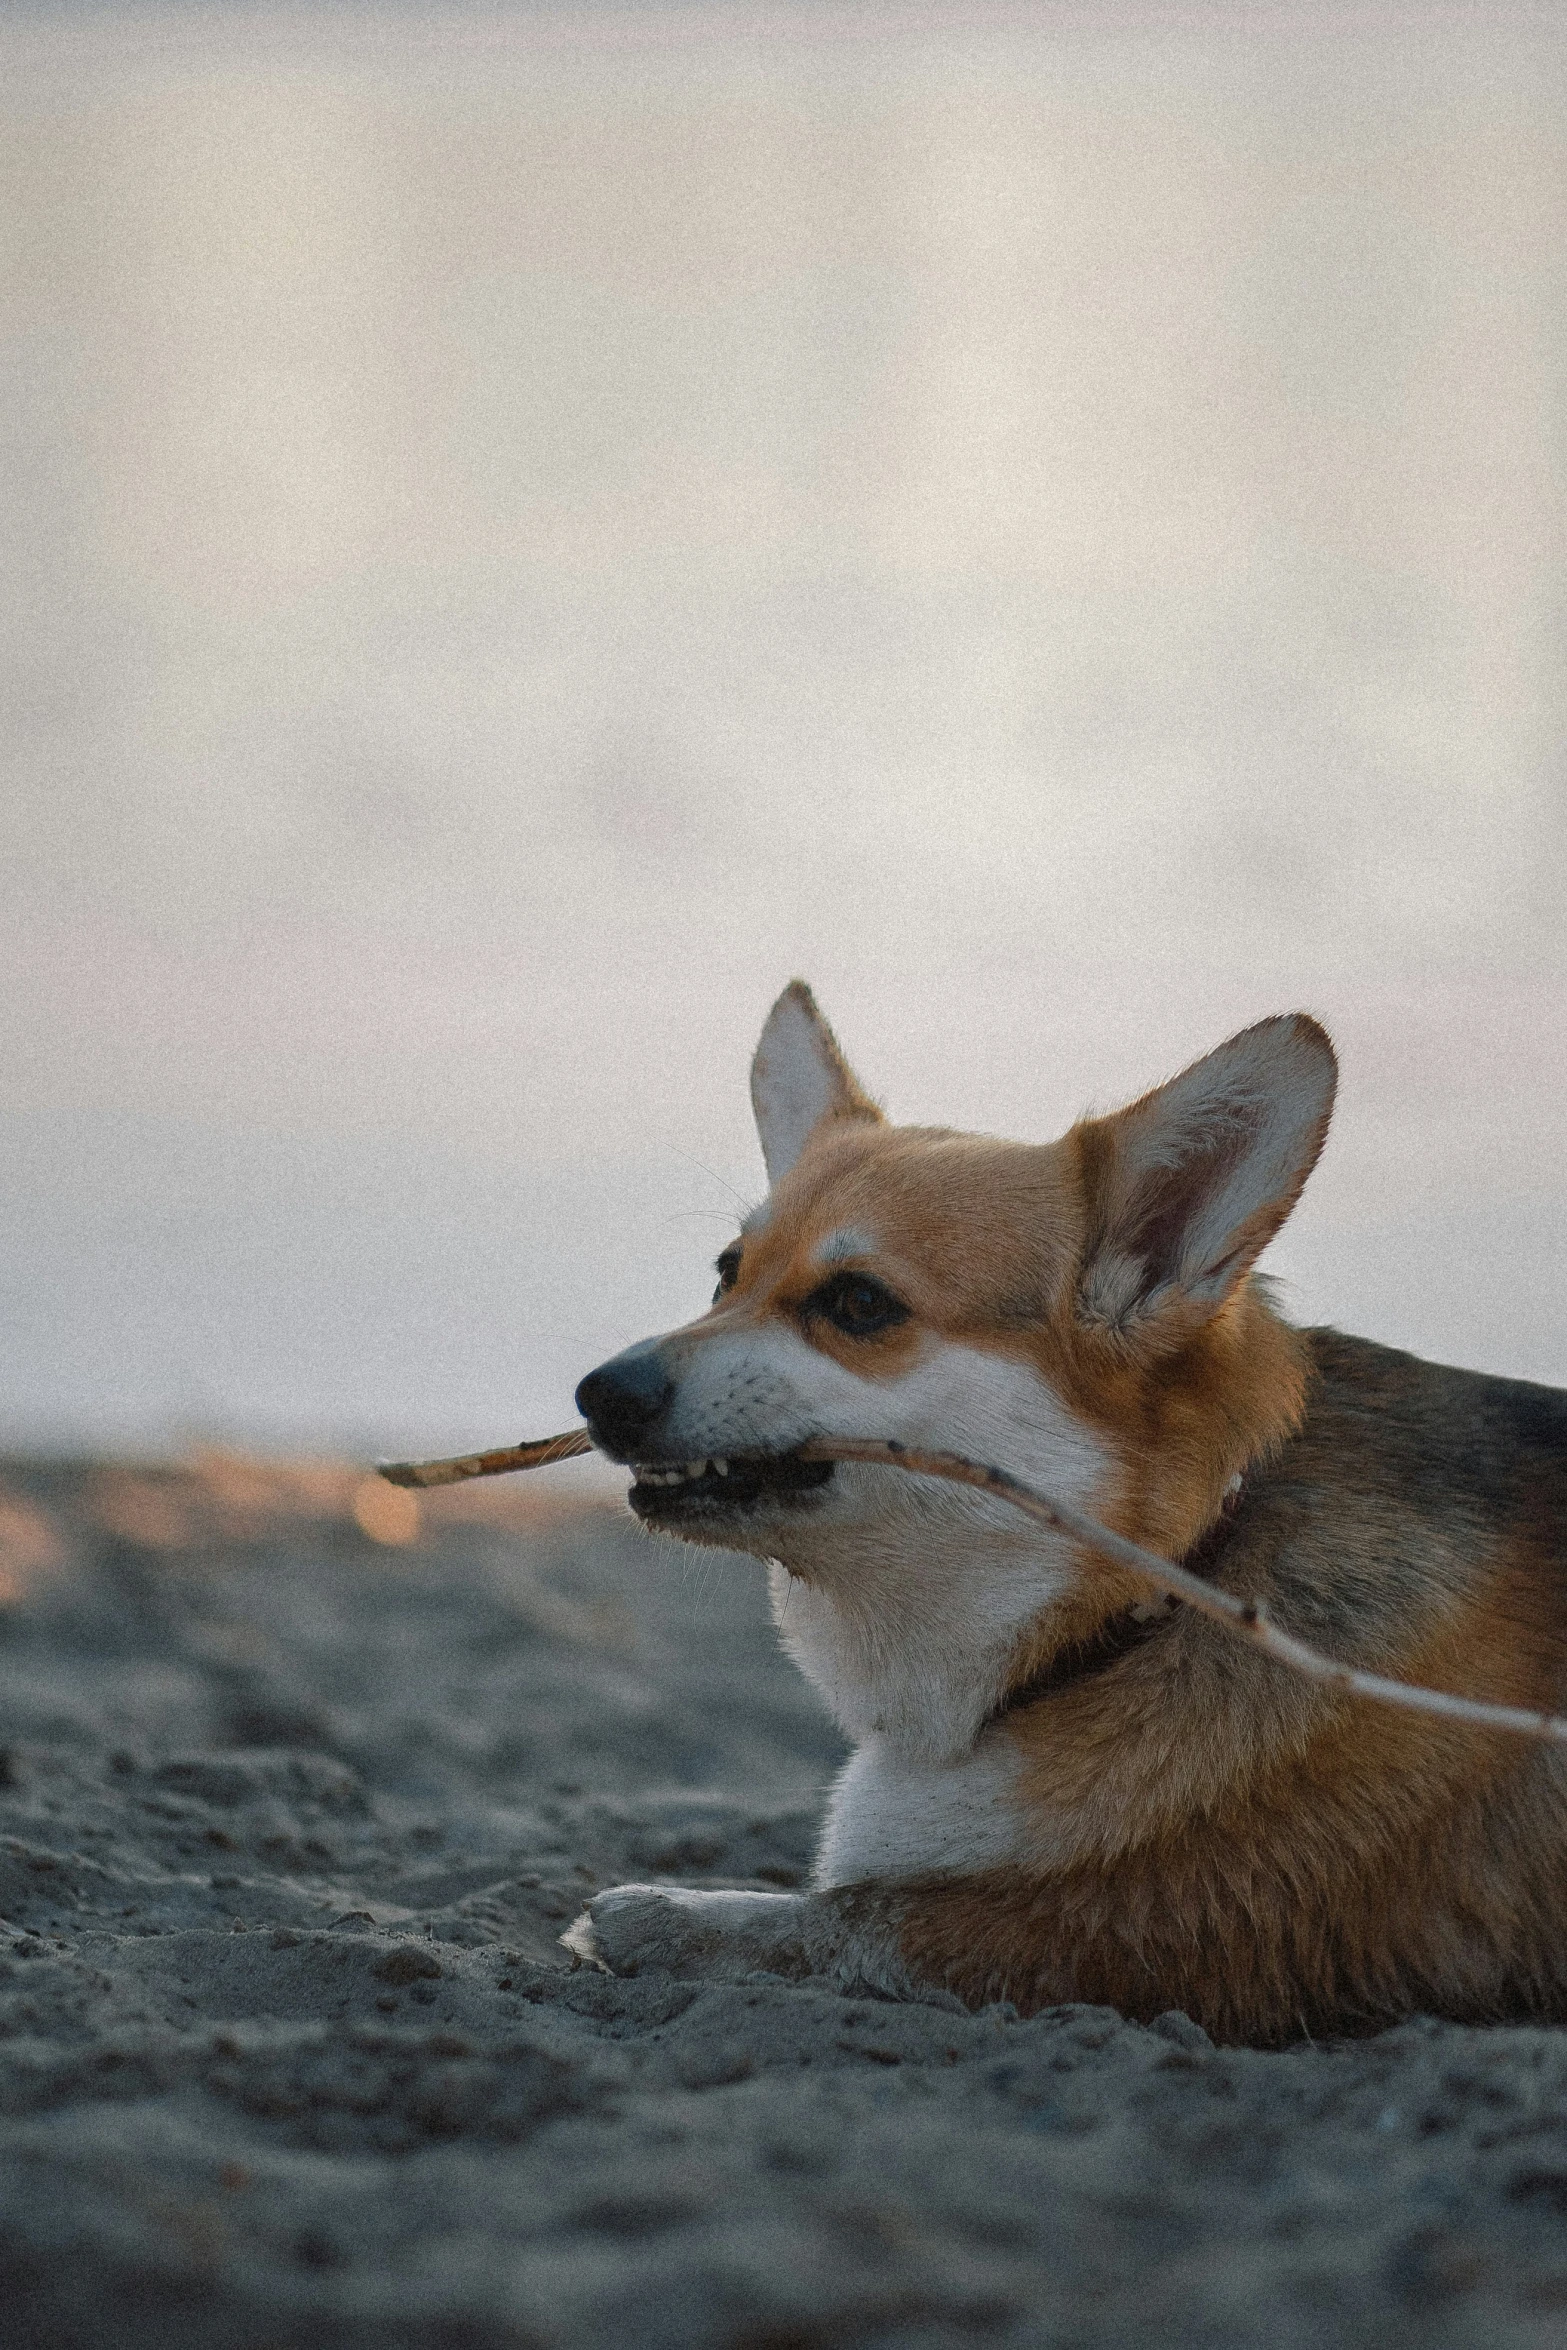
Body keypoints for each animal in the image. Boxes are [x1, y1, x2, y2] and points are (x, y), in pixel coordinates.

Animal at [570, 982, 1567, 2049]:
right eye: (725, 1273)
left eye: (857, 1303)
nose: (599, 1394)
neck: (1169, 1584)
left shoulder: (1134, 1931)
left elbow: (851, 1917)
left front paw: (657, 1915)